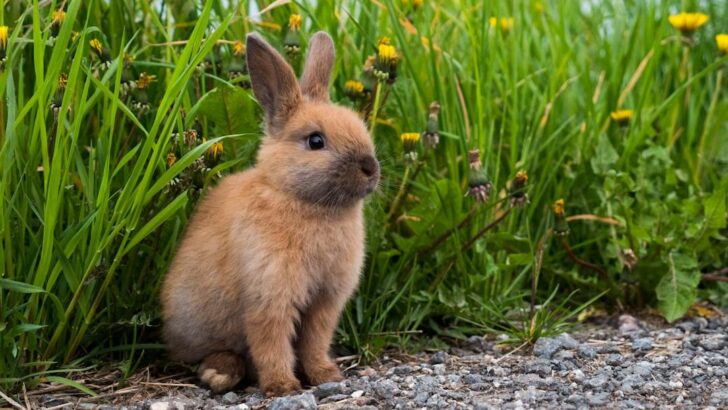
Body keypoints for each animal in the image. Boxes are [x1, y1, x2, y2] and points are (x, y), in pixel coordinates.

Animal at [160, 31, 380, 397]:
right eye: (315, 141)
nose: (370, 168)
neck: (303, 201)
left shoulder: (324, 302)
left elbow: (314, 342)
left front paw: (326, 375)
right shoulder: (269, 296)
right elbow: (271, 343)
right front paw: (282, 386)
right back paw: (219, 373)